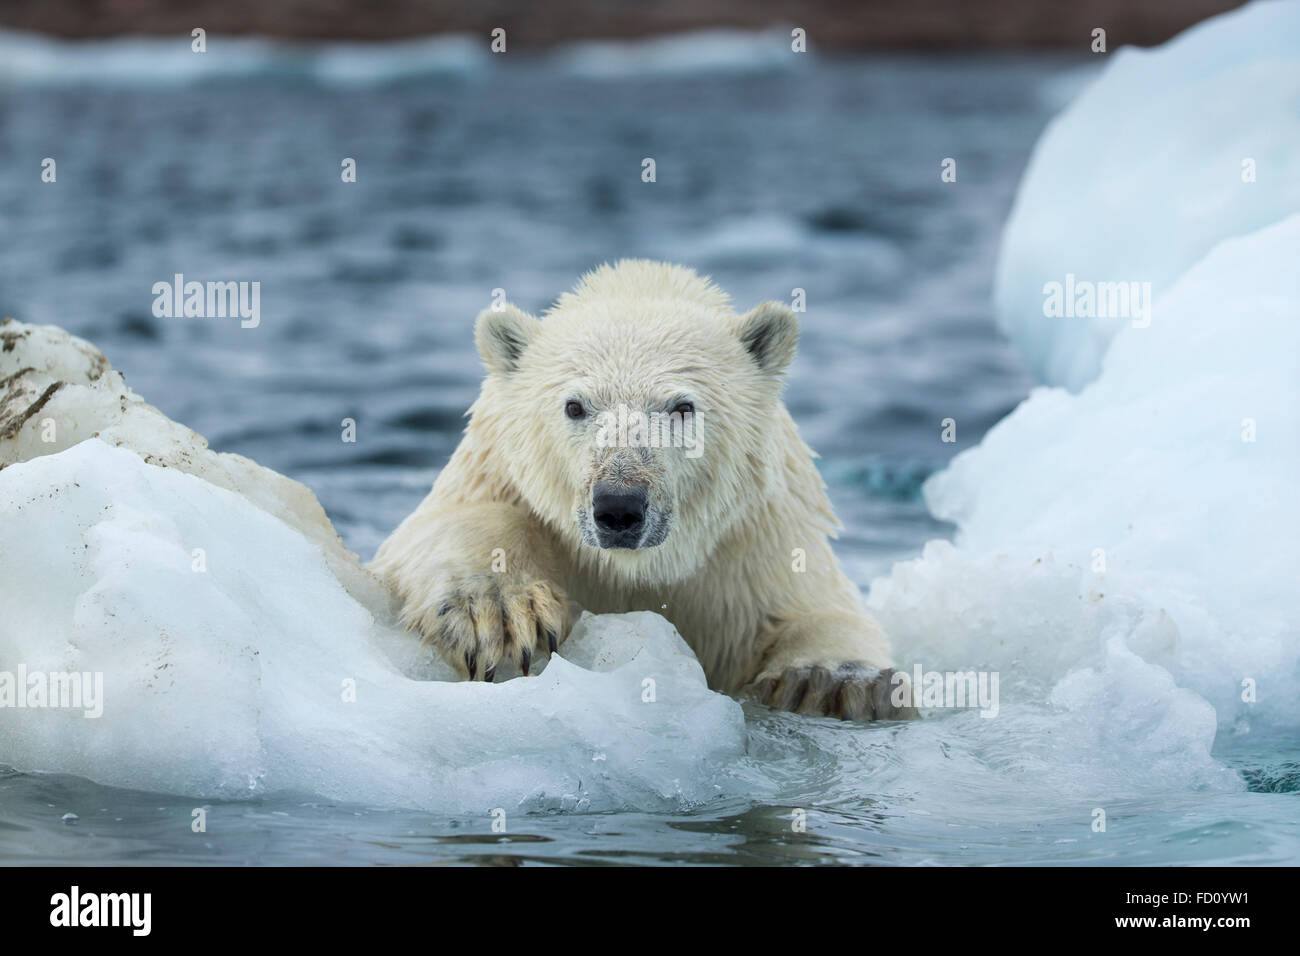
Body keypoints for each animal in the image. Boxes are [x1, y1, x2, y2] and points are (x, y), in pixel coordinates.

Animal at [371, 257, 909, 723]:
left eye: (682, 407)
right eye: (574, 406)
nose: (619, 507)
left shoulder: (753, 540)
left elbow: (810, 598)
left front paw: (831, 680)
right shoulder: (492, 471)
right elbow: (446, 526)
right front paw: (499, 611)